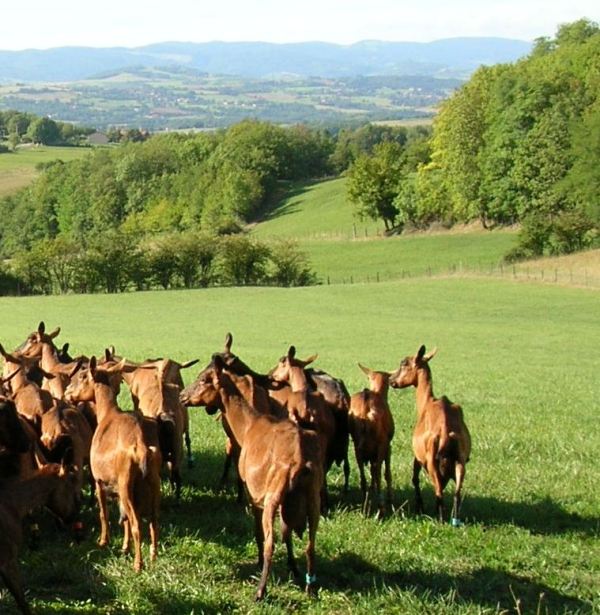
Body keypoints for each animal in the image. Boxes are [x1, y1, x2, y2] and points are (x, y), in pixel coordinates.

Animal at [64, 358, 161, 572]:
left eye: (83, 376)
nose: (67, 392)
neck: (108, 414)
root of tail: (142, 448)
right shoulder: (116, 487)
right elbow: (122, 519)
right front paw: (124, 547)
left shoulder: (99, 481)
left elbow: (104, 513)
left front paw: (103, 541)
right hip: (153, 483)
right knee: (153, 520)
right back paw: (153, 556)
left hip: (127, 485)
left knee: (136, 523)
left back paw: (138, 564)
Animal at [179, 356, 324, 600]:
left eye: (204, 379)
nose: (181, 396)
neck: (248, 426)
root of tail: (301, 461)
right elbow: (288, 534)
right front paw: (293, 569)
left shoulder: (254, 493)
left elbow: (259, 533)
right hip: (313, 498)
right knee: (310, 545)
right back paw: (310, 588)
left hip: (273, 497)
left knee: (270, 543)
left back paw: (260, 590)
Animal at [346, 364, 394, 516]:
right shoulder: (387, 446)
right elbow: (386, 472)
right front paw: (389, 498)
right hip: (380, 444)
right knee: (378, 471)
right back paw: (380, 505)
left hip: (357, 445)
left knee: (362, 471)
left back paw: (365, 501)